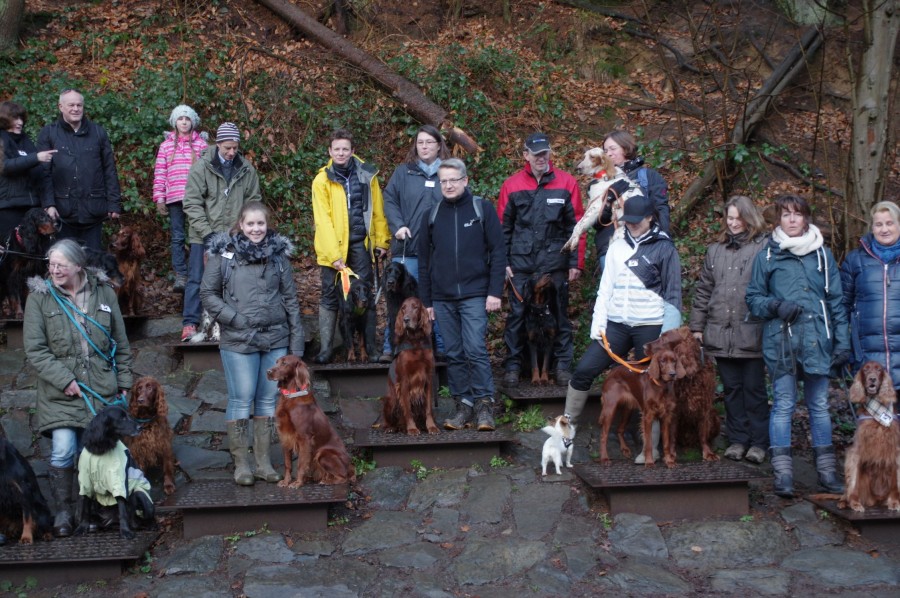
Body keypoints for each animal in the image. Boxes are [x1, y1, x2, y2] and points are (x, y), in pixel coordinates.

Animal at [75, 405, 155, 539]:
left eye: (128, 415)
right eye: (122, 418)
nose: (140, 427)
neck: (102, 449)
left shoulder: (118, 480)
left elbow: (122, 508)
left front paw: (125, 531)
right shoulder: (86, 481)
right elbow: (85, 508)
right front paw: (82, 527)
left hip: (142, 496)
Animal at [266, 355, 356, 488]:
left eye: (285, 363)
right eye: (276, 362)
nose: (268, 372)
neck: (291, 396)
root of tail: (349, 466)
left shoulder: (304, 438)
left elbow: (300, 464)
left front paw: (297, 483)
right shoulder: (285, 436)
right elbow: (288, 464)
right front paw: (286, 481)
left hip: (323, 453)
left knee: (343, 477)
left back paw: (326, 481)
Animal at [382, 297, 439, 435]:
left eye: (415, 307)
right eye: (403, 308)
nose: (406, 319)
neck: (415, 341)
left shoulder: (428, 378)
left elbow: (428, 408)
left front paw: (431, 426)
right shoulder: (404, 380)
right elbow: (407, 407)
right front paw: (412, 428)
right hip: (391, 398)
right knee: (386, 420)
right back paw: (391, 427)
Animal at [839, 361, 900, 512]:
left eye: (879, 370)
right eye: (866, 369)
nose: (872, 379)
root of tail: (876, 500)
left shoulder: (895, 450)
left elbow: (896, 482)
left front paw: (895, 502)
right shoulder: (856, 450)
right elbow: (853, 481)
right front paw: (855, 503)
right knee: (847, 490)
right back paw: (844, 502)